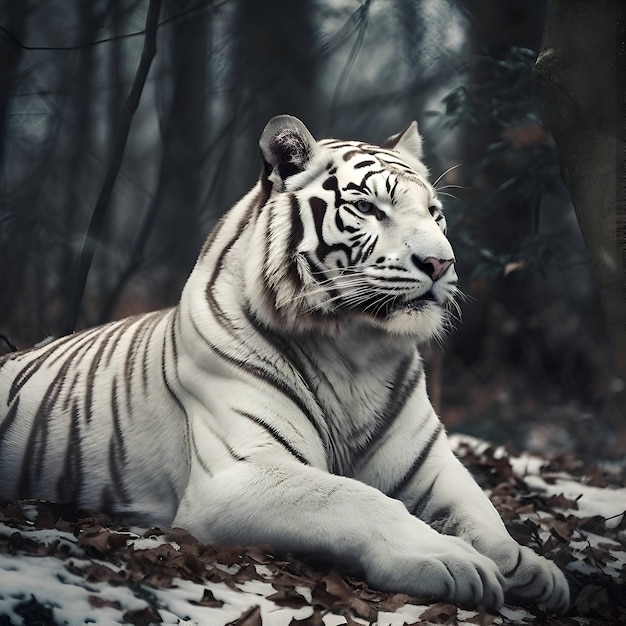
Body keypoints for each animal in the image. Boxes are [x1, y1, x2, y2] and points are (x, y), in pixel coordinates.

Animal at [0, 114, 564, 612]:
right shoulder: (239, 473)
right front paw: (448, 558)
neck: (356, 353)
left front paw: (533, 568)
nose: (441, 262)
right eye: (369, 208)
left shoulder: (431, 467)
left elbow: (482, 513)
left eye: (434, 213)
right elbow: (355, 499)